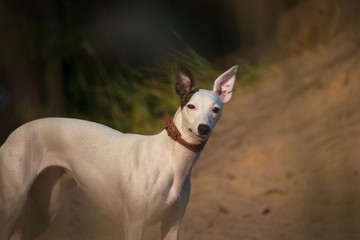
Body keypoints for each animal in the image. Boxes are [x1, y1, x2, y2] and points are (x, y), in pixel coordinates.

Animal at [0, 64, 236, 240]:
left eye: (215, 109)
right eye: (191, 106)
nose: (203, 129)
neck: (171, 159)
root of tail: (11, 135)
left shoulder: (172, 224)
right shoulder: (134, 225)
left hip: (46, 208)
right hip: (12, 207)